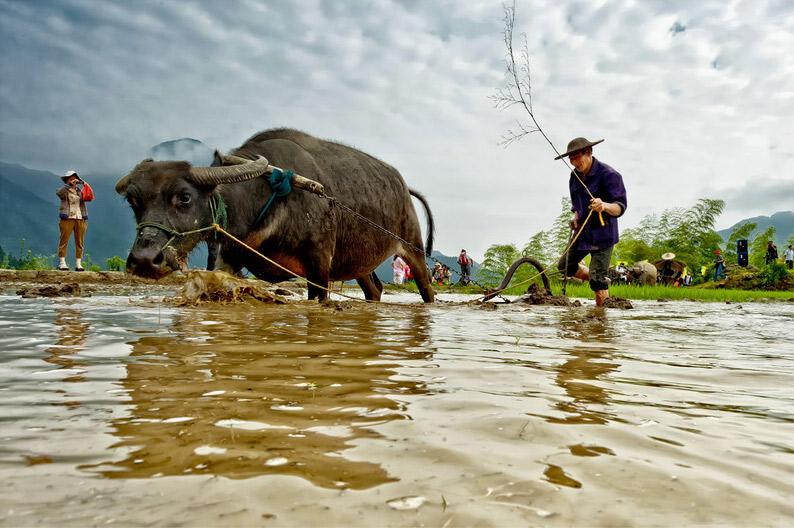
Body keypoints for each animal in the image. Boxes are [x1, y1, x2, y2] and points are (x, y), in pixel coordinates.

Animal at [113, 127, 434, 302]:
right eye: (133, 201)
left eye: (184, 197)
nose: (144, 260)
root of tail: (404, 188)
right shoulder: (230, 256)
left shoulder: (319, 261)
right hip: (357, 260)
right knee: (374, 289)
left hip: (414, 249)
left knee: (426, 288)